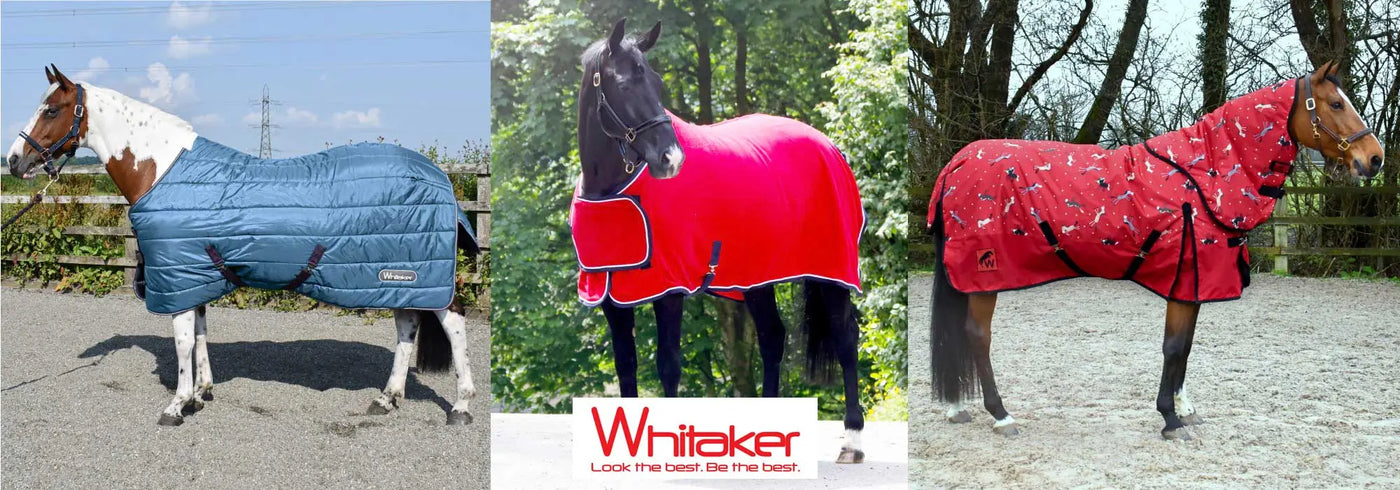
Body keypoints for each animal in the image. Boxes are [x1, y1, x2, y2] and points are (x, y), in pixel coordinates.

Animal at [5, 65, 481, 427]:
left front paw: (176, 405)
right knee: (407, 328)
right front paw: (201, 392)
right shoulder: (194, 274)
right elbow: (199, 333)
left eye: (51, 109)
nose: (13, 160)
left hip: (420, 276)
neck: (163, 170)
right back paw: (387, 398)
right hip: (400, 277)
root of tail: (439, 176)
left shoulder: (179, 275)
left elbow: (182, 342)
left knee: (454, 324)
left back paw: (460, 405)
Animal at [570, 19, 869, 463]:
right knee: (773, 338)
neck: (612, 189)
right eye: (623, 84)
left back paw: (852, 439)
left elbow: (668, 364)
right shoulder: (610, 292)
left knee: (845, 338)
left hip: (830, 270)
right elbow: (626, 364)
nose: (671, 159)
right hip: (758, 275)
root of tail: (830, 146)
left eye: (657, 83)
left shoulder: (669, 288)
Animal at [926, 60, 1385, 440]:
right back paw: (1001, 415)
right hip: (984, 277)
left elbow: (1186, 348)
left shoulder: (1195, 285)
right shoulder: (1184, 281)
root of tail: (956, 164)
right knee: (977, 337)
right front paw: (1169, 418)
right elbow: (1173, 348)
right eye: (1335, 104)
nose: (1375, 159)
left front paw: (1185, 408)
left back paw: (956, 408)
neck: (1206, 176)